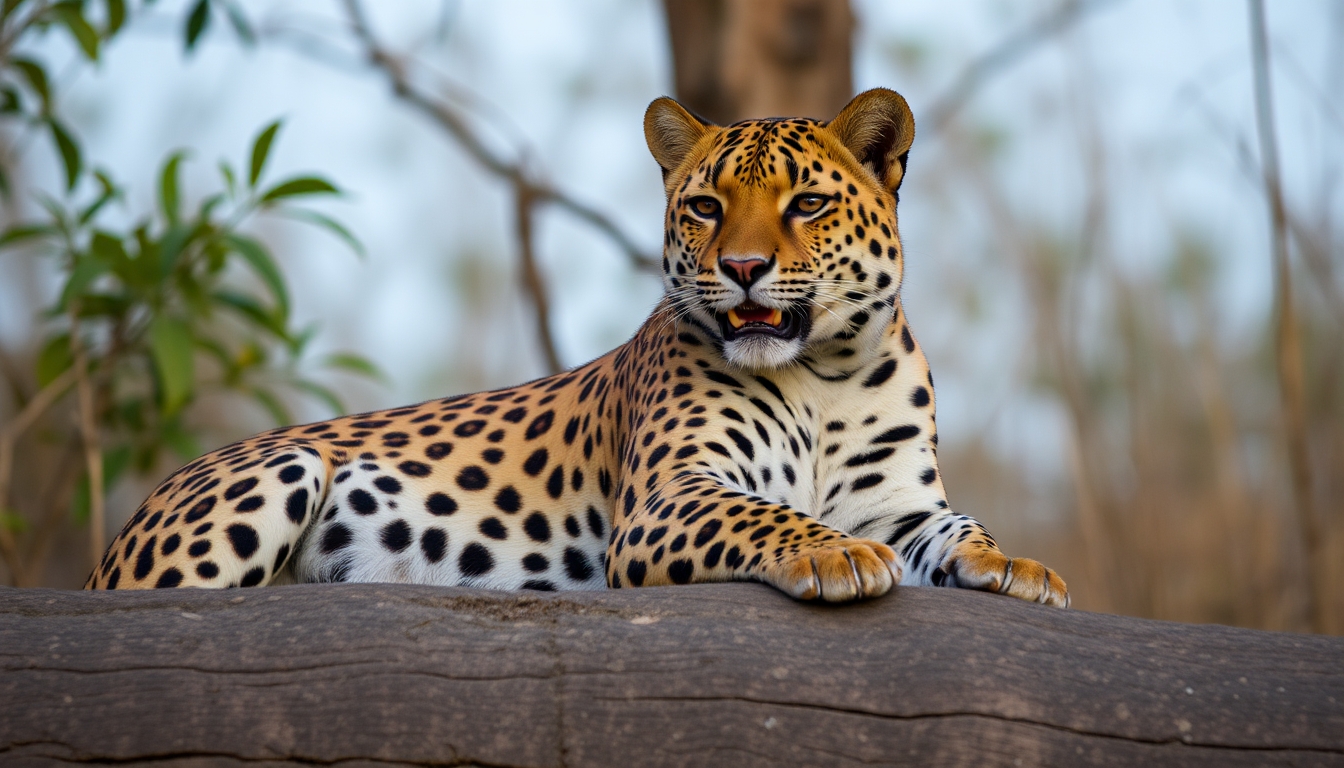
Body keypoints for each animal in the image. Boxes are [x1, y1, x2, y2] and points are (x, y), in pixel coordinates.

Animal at [86, 88, 1069, 608]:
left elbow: (958, 527)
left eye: (808, 205)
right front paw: (833, 555)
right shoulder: (670, 496)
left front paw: (1020, 564)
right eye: (705, 206)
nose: (744, 268)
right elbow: (765, 513)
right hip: (274, 472)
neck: (822, 377)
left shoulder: (899, 503)